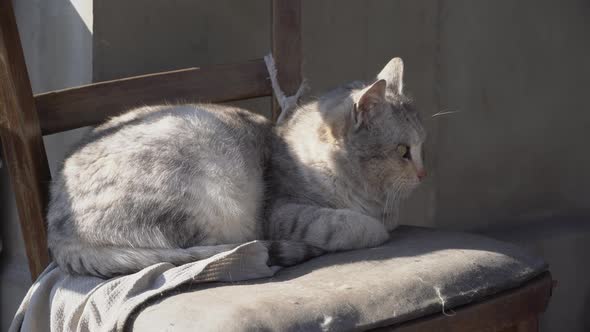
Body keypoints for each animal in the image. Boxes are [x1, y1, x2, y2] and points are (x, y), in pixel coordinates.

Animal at [46, 57, 426, 278]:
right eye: (403, 151)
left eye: (423, 145)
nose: (424, 175)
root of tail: (59, 234)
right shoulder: (281, 212)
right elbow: (350, 224)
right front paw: (375, 227)